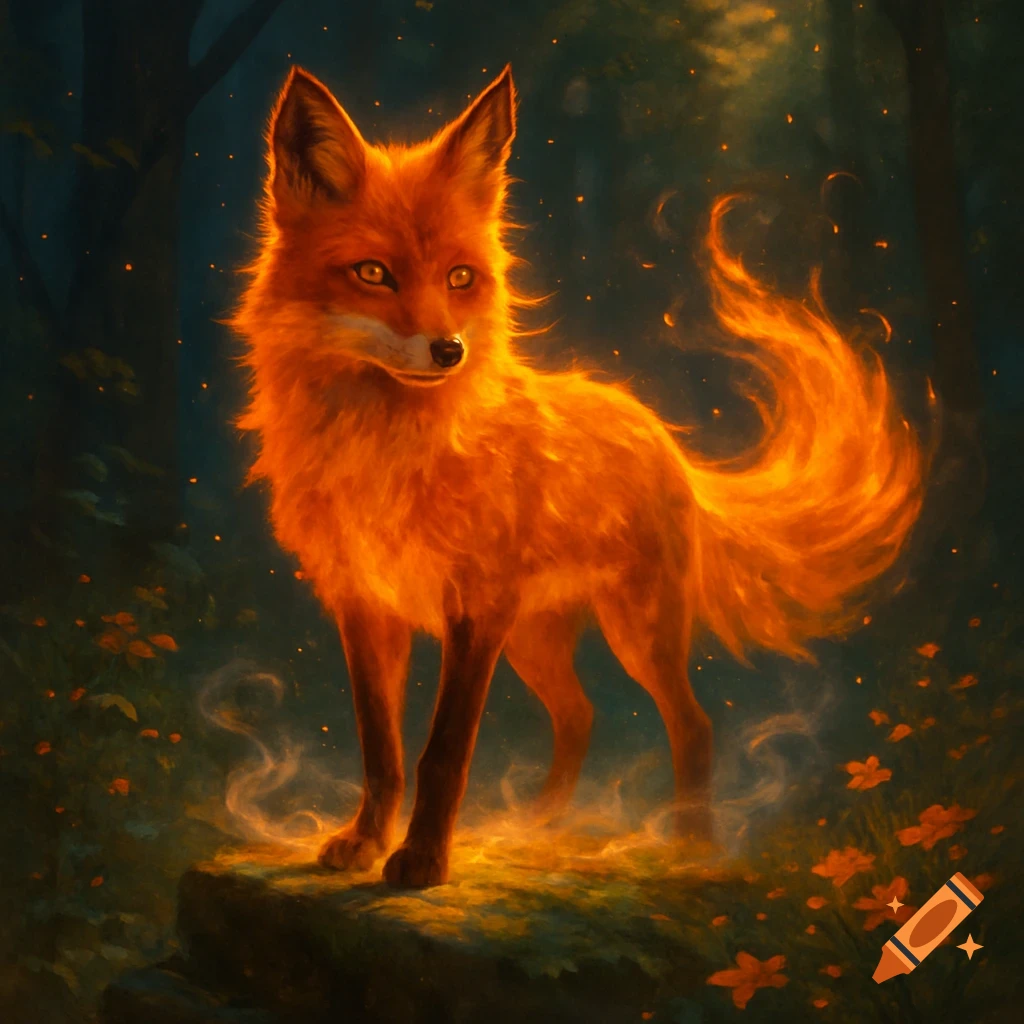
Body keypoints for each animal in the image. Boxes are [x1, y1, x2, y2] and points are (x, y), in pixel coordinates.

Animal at [230, 64, 925, 888]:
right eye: (374, 273)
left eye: (460, 278)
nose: (449, 350)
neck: (384, 447)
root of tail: (660, 433)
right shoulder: (367, 607)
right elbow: (382, 752)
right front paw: (367, 843)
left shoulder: (475, 608)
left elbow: (443, 753)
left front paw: (424, 859)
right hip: (535, 642)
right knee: (581, 717)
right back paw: (536, 827)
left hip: (634, 632)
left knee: (693, 723)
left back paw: (691, 845)